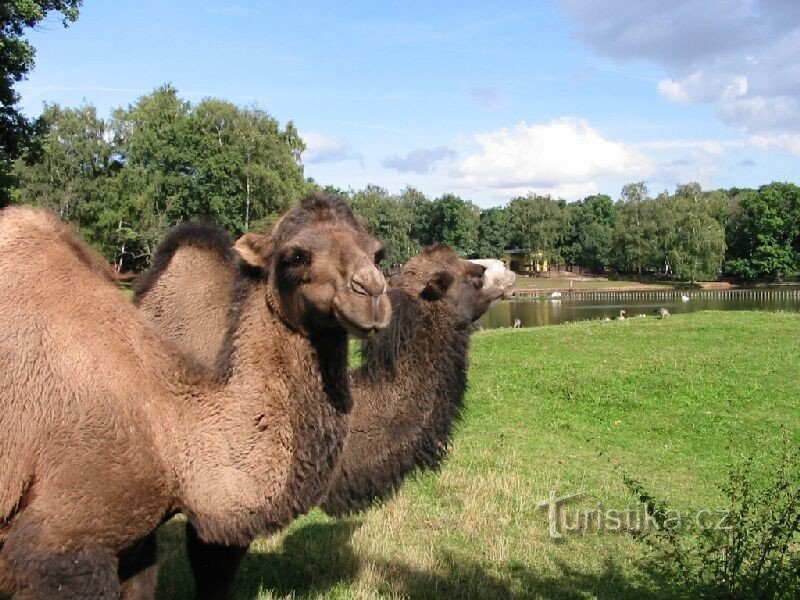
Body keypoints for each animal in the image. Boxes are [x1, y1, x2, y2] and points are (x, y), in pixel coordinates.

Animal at [0, 195, 390, 596]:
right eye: (295, 256)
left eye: (378, 253)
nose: (373, 291)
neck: (171, 422)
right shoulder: (64, 542)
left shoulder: (136, 543)